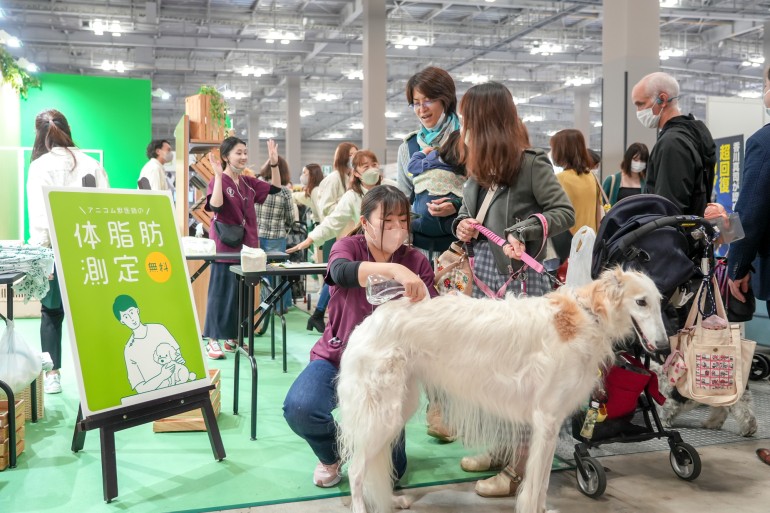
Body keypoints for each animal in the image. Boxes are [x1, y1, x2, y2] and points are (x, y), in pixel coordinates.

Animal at [336, 268, 664, 512]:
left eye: (660, 302)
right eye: (641, 302)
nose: (663, 347)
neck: (587, 315)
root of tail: (368, 323)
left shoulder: (552, 421)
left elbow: (543, 484)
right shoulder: (546, 420)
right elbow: (535, 486)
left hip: (398, 407)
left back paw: (392, 500)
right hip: (383, 413)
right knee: (355, 470)